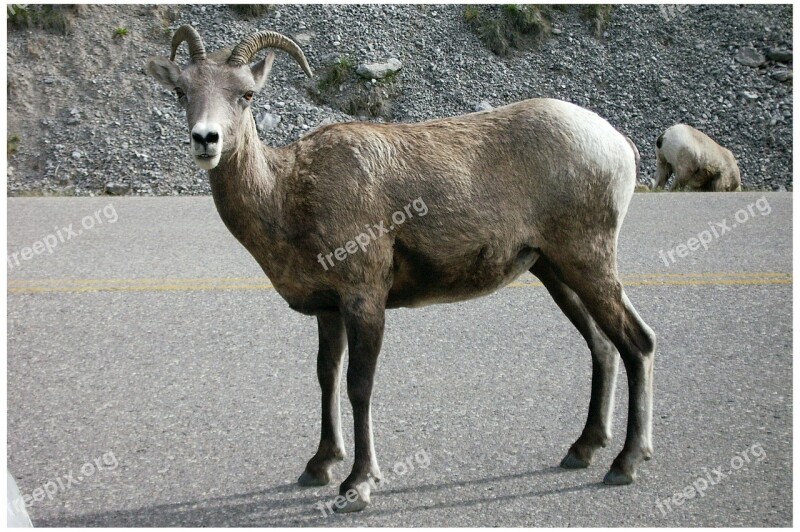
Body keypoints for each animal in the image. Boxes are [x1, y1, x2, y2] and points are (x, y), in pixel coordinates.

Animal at [145, 27, 656, 512]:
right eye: (181, 92)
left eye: (246, 94)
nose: (206, 139)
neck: (289, 196)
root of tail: (618, 145)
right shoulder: (329, 311)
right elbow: (326, 377)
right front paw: (319, 465)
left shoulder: (365, 299)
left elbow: (359, 386)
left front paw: (357, 486)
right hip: (554, 270)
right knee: (602, 346)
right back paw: (582, 450)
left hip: (588, 261)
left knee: (637, 342)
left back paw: (625, 463)